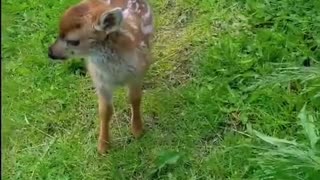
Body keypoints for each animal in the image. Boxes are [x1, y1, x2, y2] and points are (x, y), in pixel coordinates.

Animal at [47, 0, 154, 154]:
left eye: (74, 41)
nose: (50, 52)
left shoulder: (136, 73)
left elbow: (135, 99)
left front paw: (137, 130)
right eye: (58, 33)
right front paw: (103, 146)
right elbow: (104, 111)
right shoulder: (100, 81)